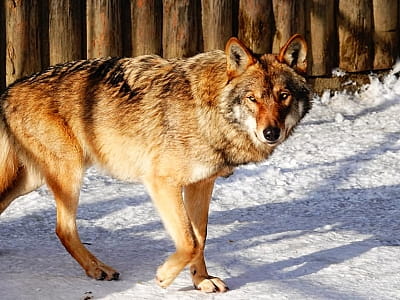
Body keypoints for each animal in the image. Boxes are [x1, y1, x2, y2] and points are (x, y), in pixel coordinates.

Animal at [0, 34, 310, 292]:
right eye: (252, 98)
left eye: (283, 96)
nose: (271, 133)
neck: (208, 112)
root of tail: (8, 90)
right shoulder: (162, 183)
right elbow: (189, 241)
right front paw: (164, 277)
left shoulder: (201, 184)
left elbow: (200, 237)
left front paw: (201, 281)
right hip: (68, 176)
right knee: (63, 229)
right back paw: (98, 269)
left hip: (30, 181)